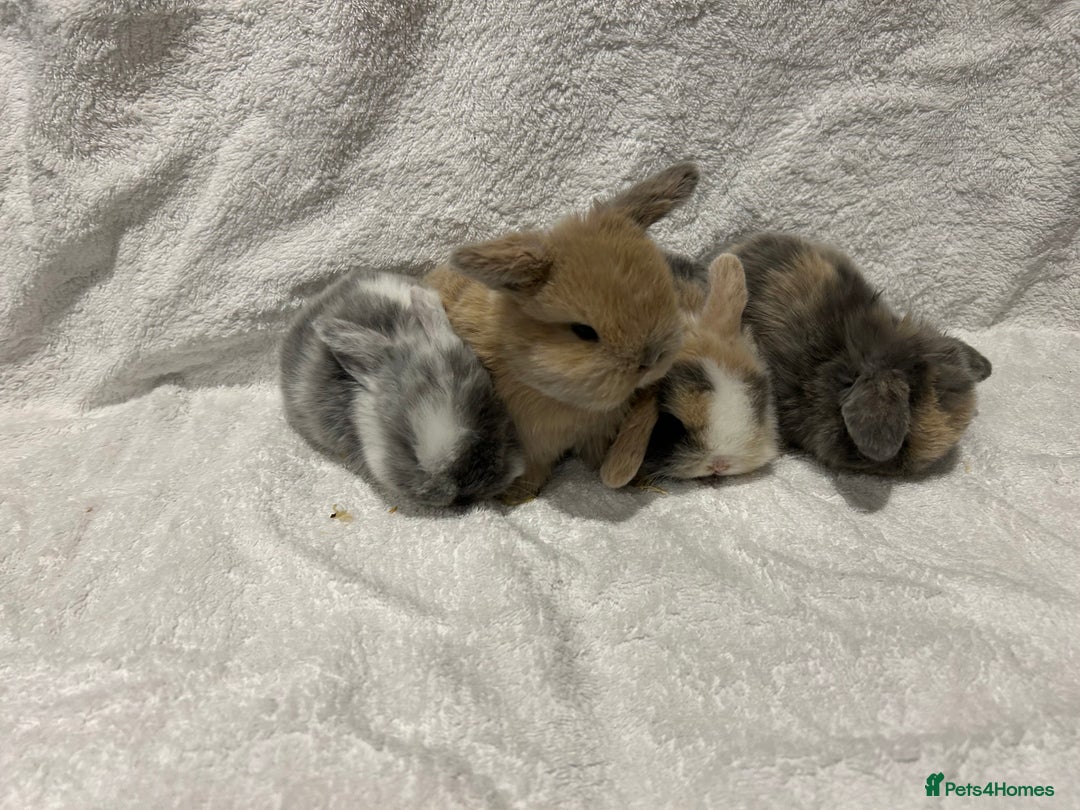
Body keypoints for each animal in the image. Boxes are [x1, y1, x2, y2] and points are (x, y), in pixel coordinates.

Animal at [425, 162, 700, 502]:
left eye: (666, 294)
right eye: (584, 331)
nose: (650, 361)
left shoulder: (598, 432)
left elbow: (599, 457)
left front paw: (635, 482)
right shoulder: (531, 444)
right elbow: (533, 471)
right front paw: (515, 497)